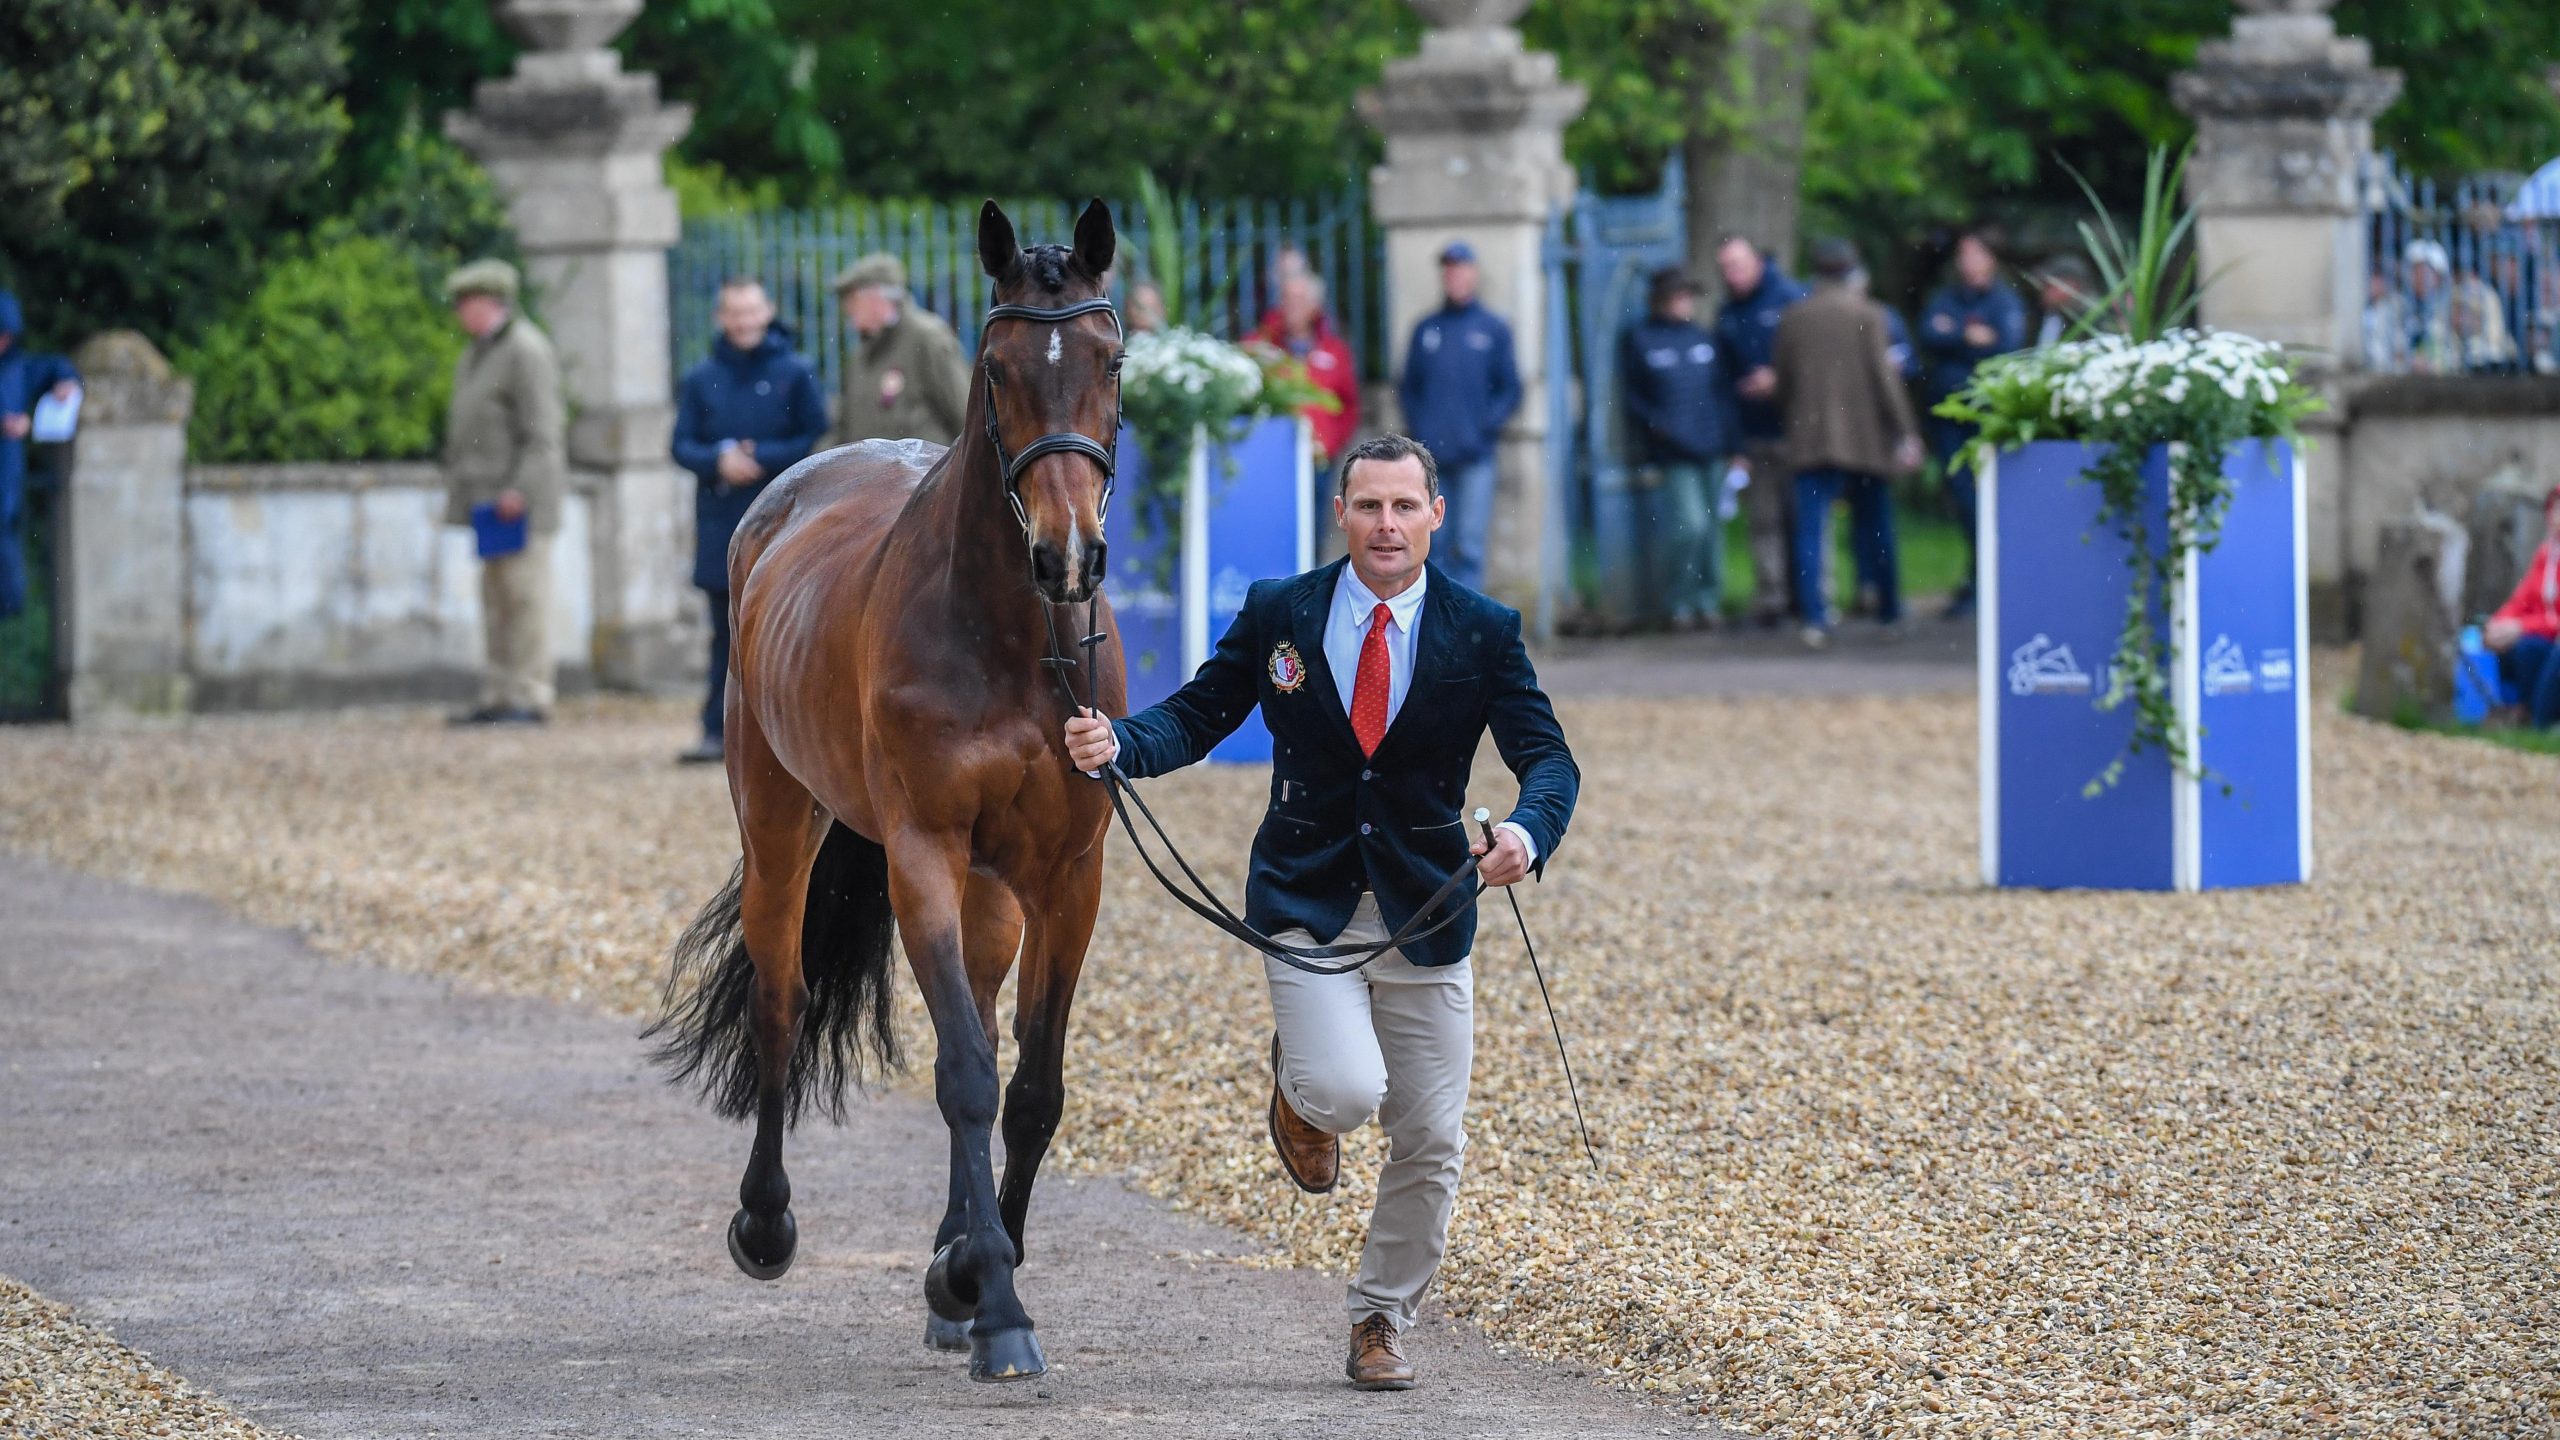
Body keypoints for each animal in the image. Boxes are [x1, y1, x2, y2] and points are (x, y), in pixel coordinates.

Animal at [646, 199, 1127, 1384]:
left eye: (1109, 359)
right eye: (998, 369)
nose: (1069, 556)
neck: (1011, 637)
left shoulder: (1069, 875)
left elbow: (1029, 1089)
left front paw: (970, 1277)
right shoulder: (920, 852)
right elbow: (962, 1075)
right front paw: (993, 1301)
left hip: (992, 890)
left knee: (986, 1024)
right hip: (780, 826)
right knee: (781, 1001)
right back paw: (768, 1223)